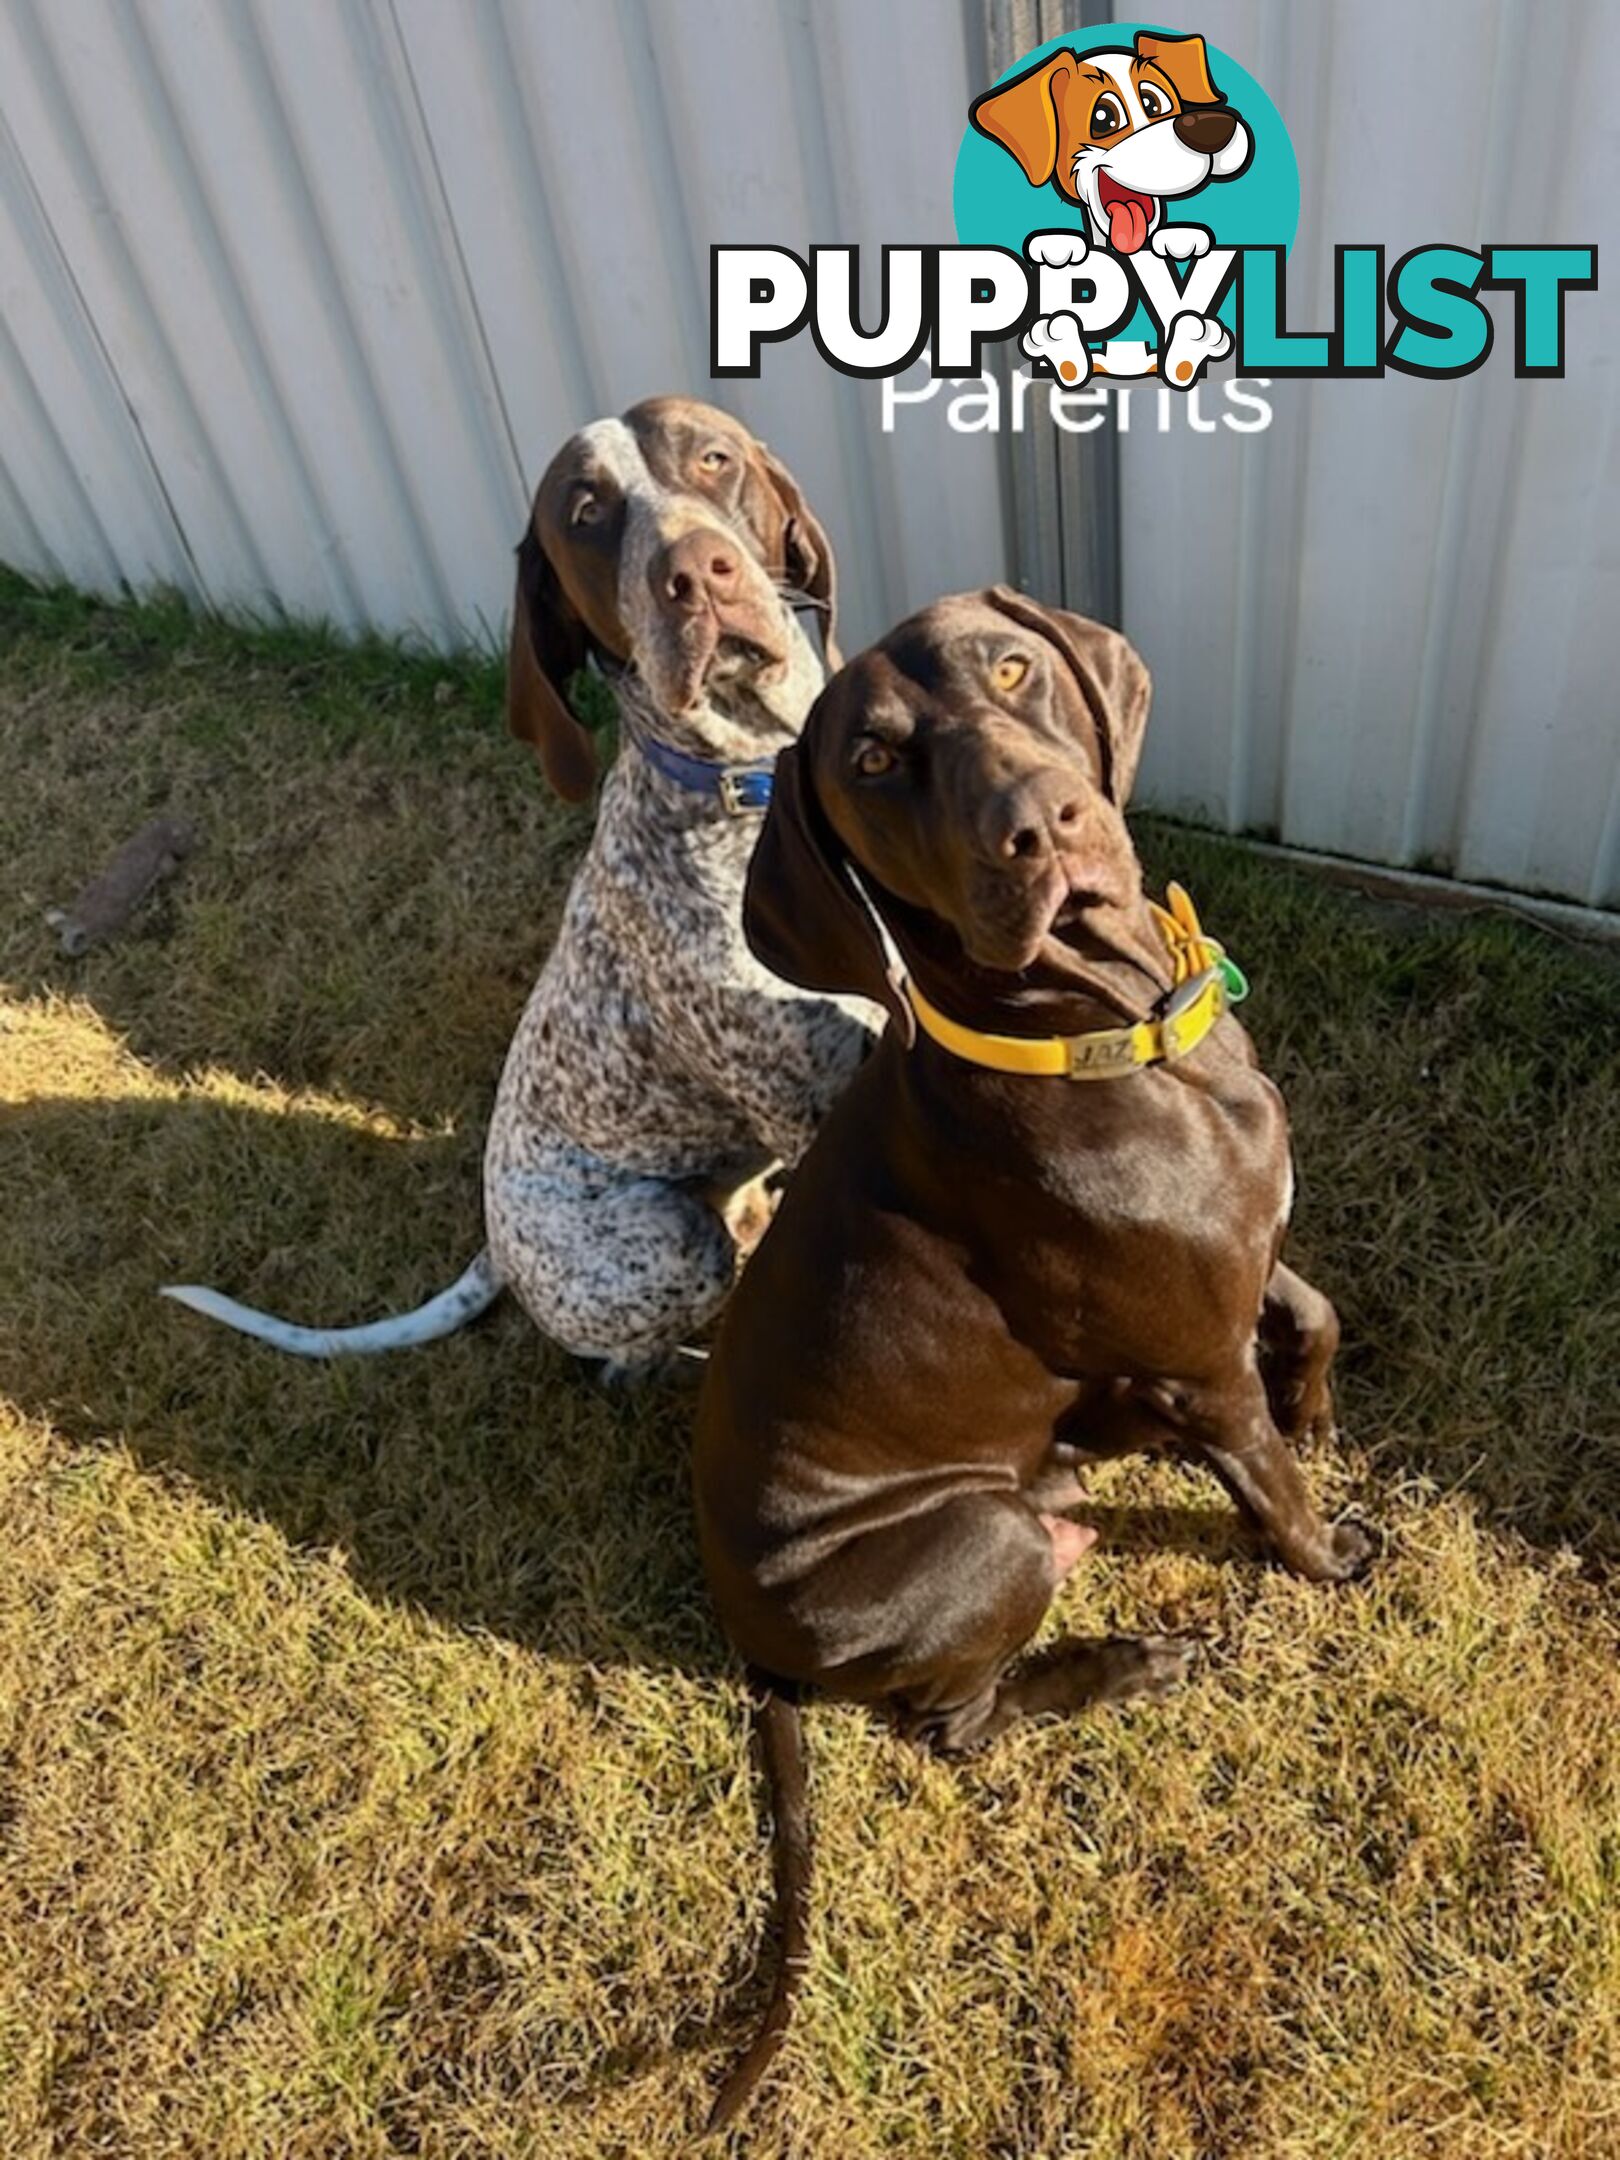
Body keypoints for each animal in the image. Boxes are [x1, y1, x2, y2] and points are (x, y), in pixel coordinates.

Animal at [165, 399, 876, 1373]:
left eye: (714, 459)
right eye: (585, 513)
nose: (695, 572)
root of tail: (497, 1247)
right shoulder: (813, 1111)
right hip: (670, 1244)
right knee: (643, 1337)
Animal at [691, 587, 1373, 2125]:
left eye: (1012, 669)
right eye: (875, 762)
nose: (1042, 823)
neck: (1123, 1038)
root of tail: (750, 1641)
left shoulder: (1238, 1261)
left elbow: (1309, 1314)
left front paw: (1314, 1411)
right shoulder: (1196, 1362)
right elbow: (1275, 1492)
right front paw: (1329, 1552)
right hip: (980, 1540)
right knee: (954, 1725)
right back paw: (1129, 1662)